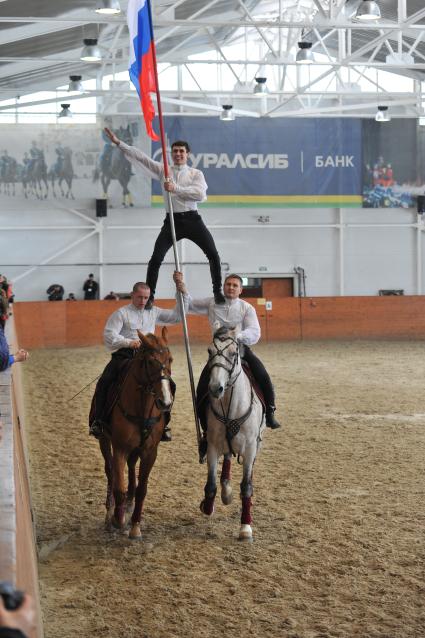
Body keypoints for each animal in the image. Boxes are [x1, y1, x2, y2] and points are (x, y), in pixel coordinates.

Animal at [97, 330, 172, 540]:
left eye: (170, 359)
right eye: (150, 362)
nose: (165, 402)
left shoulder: (150, 451)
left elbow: (142, 489)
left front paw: (135, 526)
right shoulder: (119, 447)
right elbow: (119, 487)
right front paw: (118, 519)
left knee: (131, 467)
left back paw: (129, 505)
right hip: (104, 440)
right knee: (110, 470)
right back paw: (110, 512)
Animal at [200, 328, 264, 544]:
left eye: (232, 352)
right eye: (210, 351)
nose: (215, 388)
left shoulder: (251, 448)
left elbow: (246, 486)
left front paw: (245, 528)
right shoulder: (212, 445)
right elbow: (211, 484)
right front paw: (208, 507)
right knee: (227, 459)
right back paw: (226, 491)